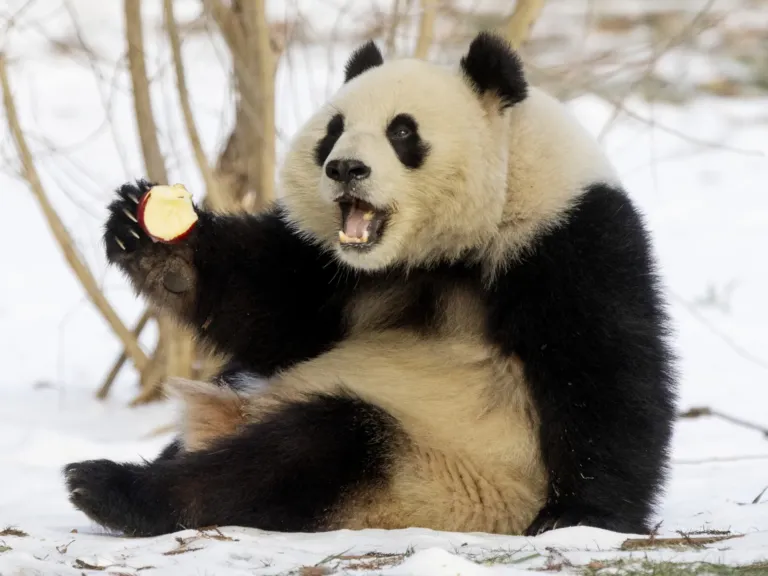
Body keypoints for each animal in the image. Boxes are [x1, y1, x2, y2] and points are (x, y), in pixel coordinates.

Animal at [64, 32, 676, 538]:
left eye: (402, 131)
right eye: (333, 131)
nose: (345, 169)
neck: (432, 254)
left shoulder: (567, 236)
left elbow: (602, 372)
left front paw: (581, 516)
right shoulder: (333, 268)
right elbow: (275, 311)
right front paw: (153, 242)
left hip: (426, 476)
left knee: (307, 450)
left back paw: (116, 489)